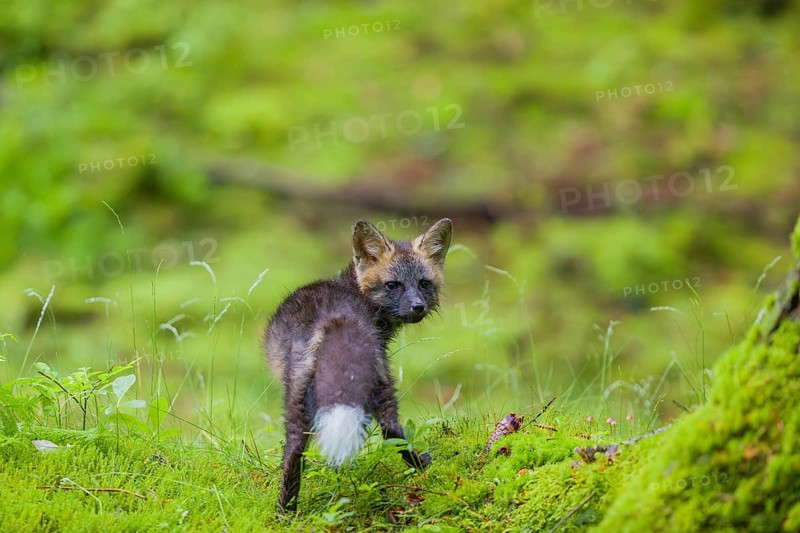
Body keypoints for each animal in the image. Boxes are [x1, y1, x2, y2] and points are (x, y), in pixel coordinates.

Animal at [264, 218, 453, 512]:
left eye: (424, 283)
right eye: (392, 285)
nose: (418, 307)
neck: (357, 293)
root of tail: (335, 317)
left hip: (299, 401)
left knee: (293, 453)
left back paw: (286, 512)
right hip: (382, 384)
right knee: (391, 430)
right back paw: (420, 467)